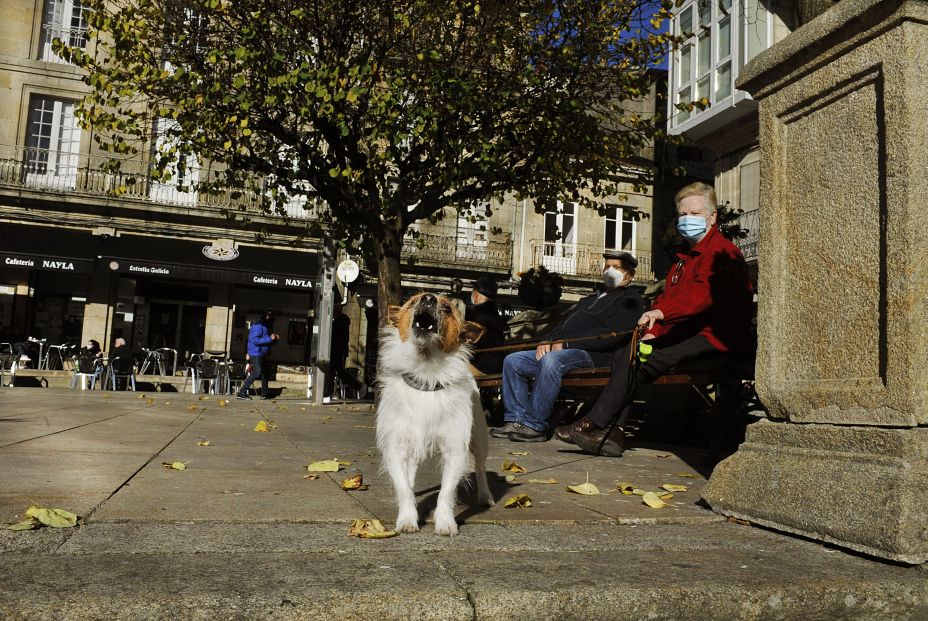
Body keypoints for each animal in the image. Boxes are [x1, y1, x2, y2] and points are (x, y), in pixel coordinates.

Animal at [376, 294, 496, 536]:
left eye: (448, 308)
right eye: (412, 301)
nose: (428, 297)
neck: (426, 376)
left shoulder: (455, 451)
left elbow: (446, 493)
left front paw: (445, 522)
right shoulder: (397, 449)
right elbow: (404, 488)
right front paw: (407, 518)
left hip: (479, 440)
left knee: (480, 467)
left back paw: (485, 495)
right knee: (410, 475)